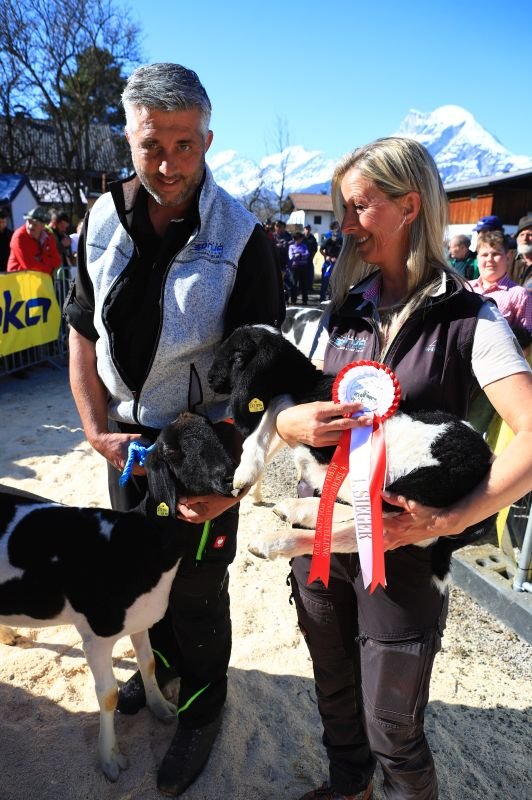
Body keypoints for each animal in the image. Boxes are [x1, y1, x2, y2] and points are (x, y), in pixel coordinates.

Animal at [0, 412, 237, 781]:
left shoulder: (141, 618)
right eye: (171, 450)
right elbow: (109, 695)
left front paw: (161, 708)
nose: (228, 479)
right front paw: (110, 759)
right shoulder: (96, 636)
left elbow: (149, 662)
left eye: (214, 433)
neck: (139, 539)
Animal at [207, 325, 495, 585]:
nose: (209, 378)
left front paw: (244, 475)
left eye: (237, 357)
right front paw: (245, 474)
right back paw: (296, 510)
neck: (309, 383)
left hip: (411, 490)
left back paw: (275, 540)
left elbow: (273, 411)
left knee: (366, 530)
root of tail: (487, 462)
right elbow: (271, 416)